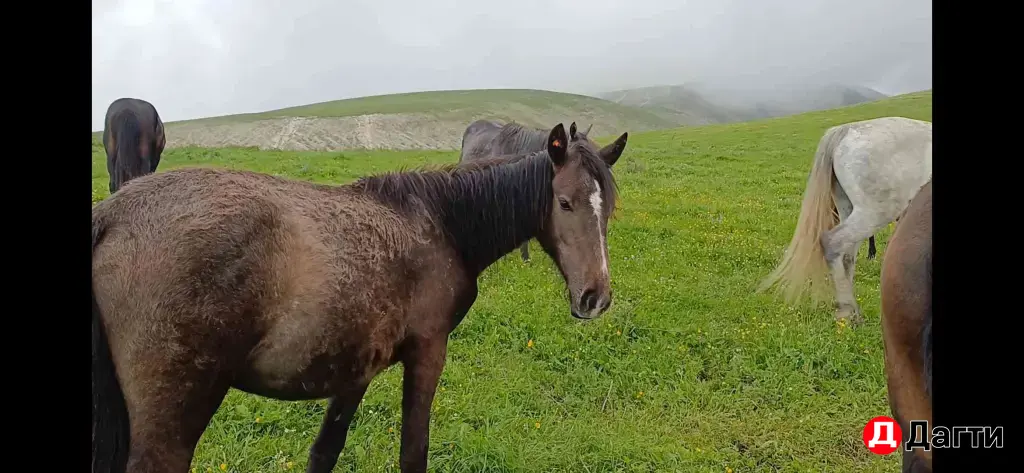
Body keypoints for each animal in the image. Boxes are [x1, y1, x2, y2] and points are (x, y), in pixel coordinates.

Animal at [758, 116, 932, 324]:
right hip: (873, 213)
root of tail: (846, 129)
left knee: (847, 255)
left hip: (848, 209)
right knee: (833, 243)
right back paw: (848, 310)